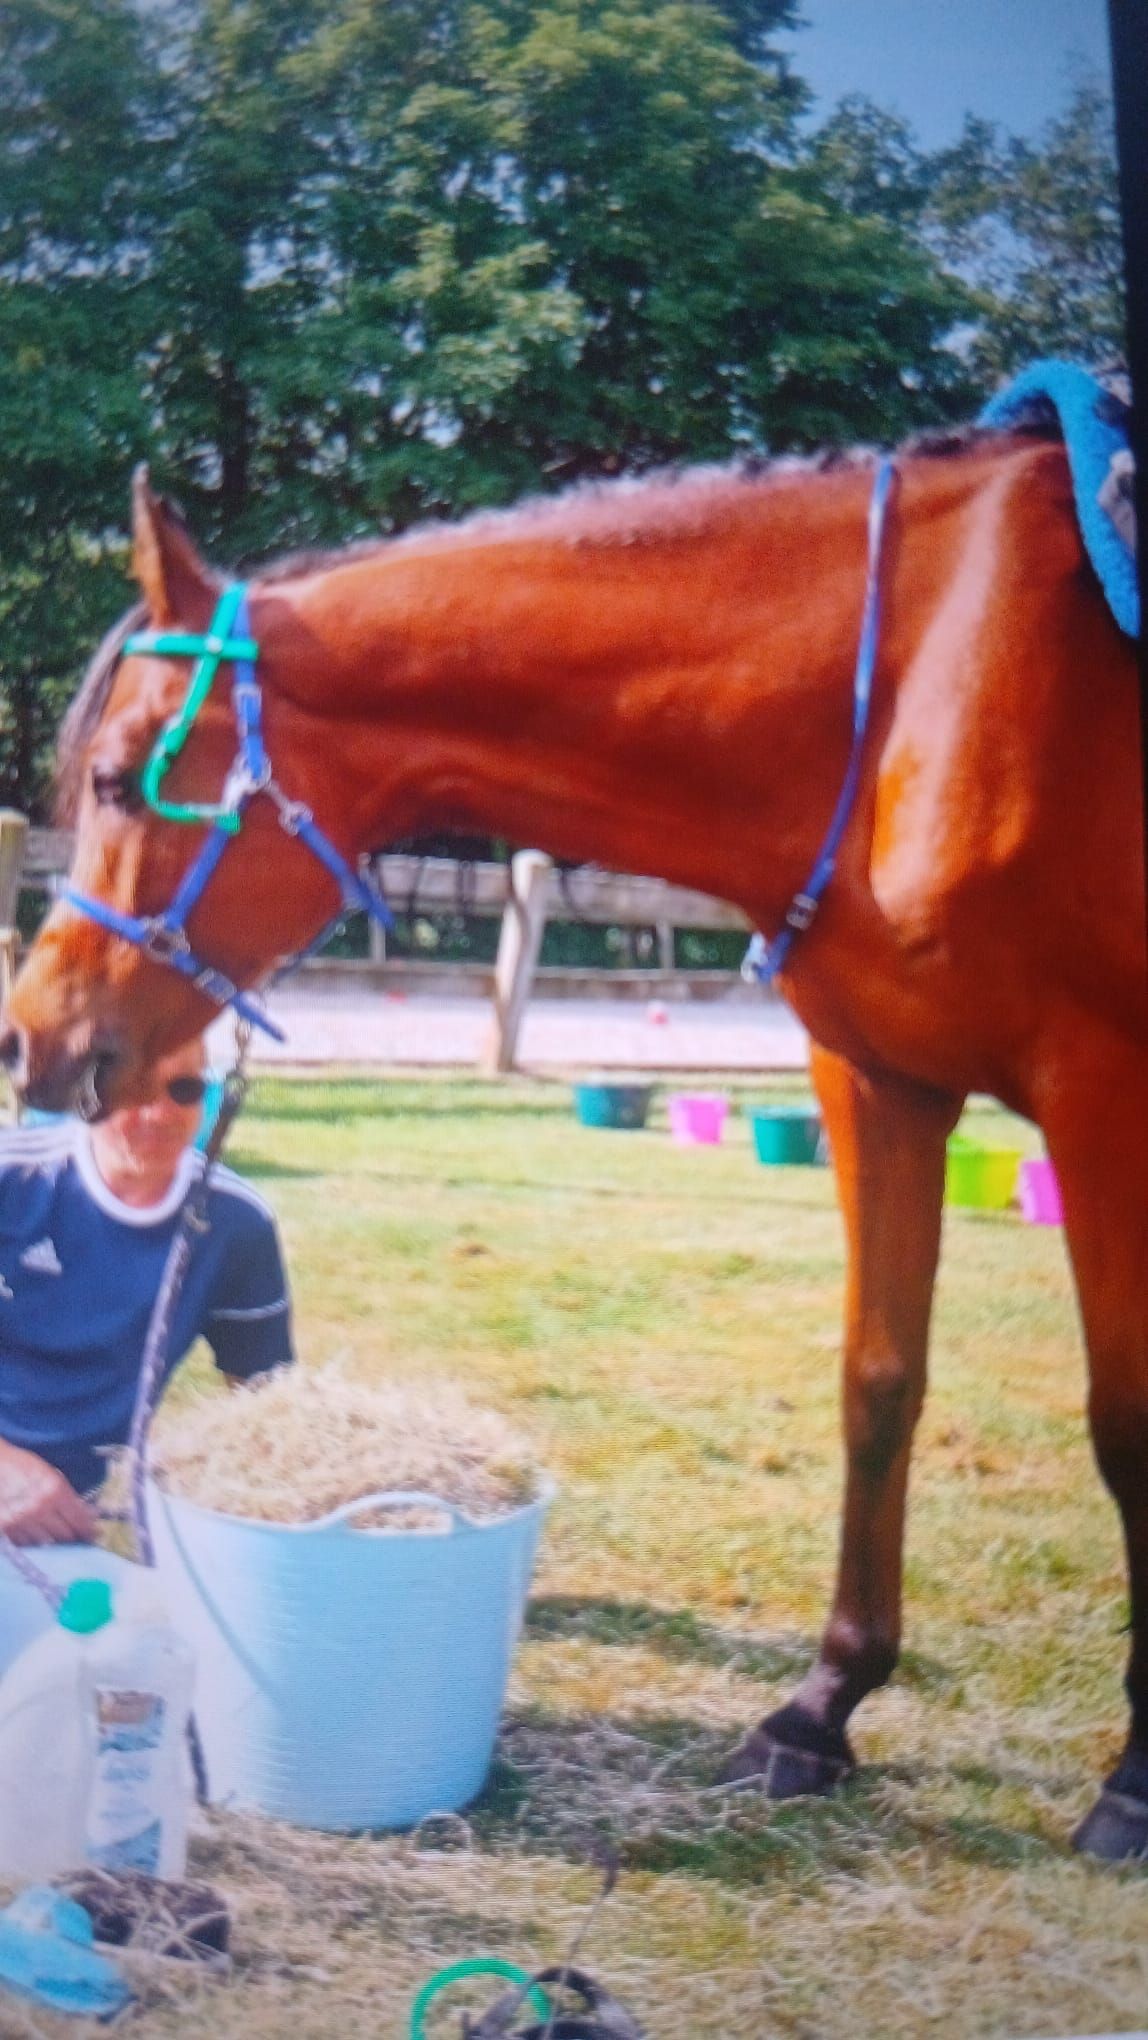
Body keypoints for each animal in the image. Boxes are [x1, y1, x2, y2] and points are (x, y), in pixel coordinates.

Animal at [2, 420, 1145, 1860]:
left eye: (113, 779)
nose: (25, 1036)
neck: (919, 676)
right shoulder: (880, 1081)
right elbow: (879, 1384)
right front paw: (818, 1713)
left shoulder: (1103, 1092)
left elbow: (1125, 1423)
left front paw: (1132, 1782)